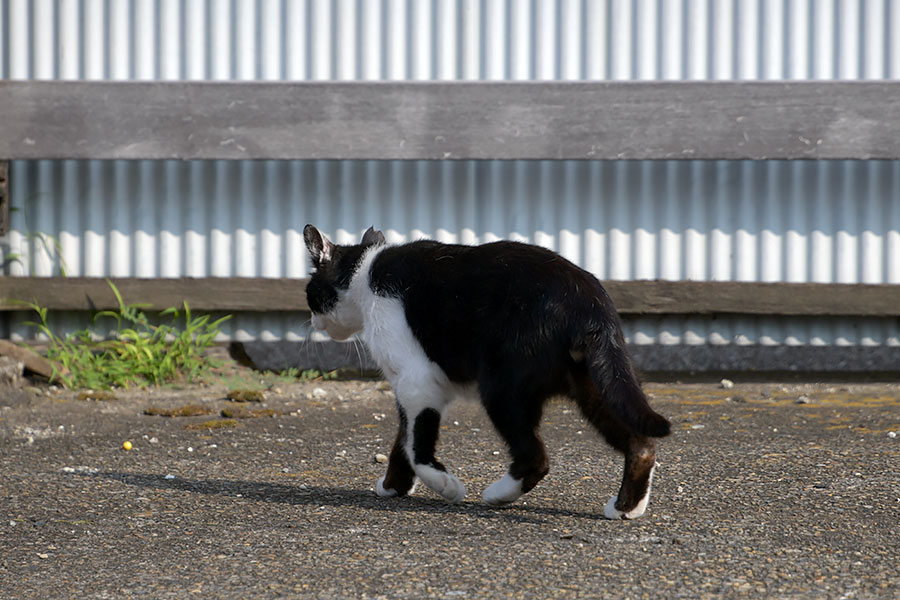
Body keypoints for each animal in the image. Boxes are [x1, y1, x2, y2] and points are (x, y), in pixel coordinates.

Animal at [306, 225, 672, 520]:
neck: (364, 278)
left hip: (501, 389)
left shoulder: (417, 383)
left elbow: (416, 444)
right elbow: (403, 439)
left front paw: (446, 486)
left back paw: (497, 495)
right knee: (641, 444)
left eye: (310, 295)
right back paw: (626, 508)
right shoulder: (406, 389)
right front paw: (394, 486)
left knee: (535, 457)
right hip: (596, 385)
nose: (312, 322)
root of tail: (589, 300)